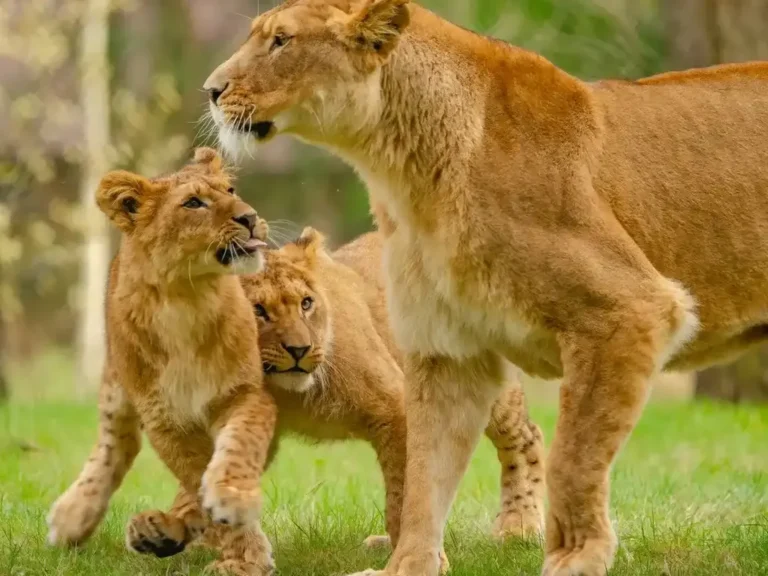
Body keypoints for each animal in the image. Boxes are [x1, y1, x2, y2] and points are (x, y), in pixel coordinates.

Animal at [46, 148, 277, 576]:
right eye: (193, 203)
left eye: (231, 190)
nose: (250, 218)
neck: (187, 298)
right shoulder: (164, 419)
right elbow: (195, 475)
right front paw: (247, 554)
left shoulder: (245, 394)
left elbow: (237, 450)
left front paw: (233, 502)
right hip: (116, 385)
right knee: (116, 443)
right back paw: (73, 518)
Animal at [124, 228, 546, 573]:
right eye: (258, 310)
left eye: (306, 303)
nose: (299, 349)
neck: (287, 392)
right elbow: (208, 474)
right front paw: (166, 528)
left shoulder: (397, 408)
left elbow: (406, 490)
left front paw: (417, 560)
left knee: (527, 438)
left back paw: (519, 528)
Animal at [202, 1, 768, 575]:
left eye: (281, 41)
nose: (211, 90)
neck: (403, 170)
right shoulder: (448, 348)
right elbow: (425, 475)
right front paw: (409, 564)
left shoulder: (628, 310)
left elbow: (575, 456)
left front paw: (575, 558)